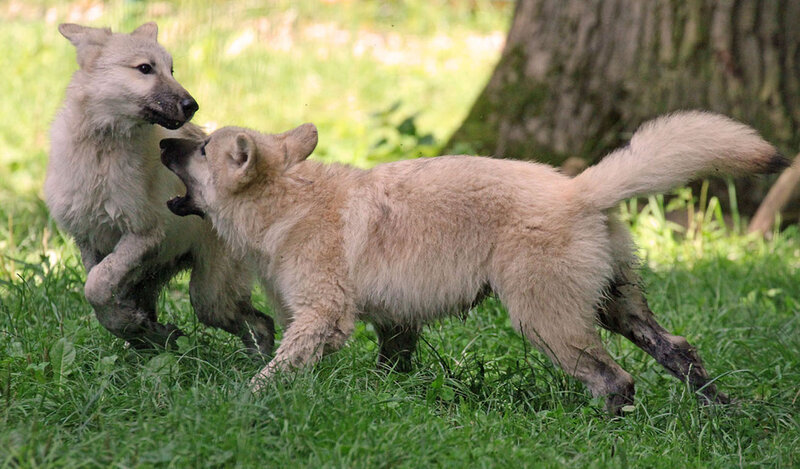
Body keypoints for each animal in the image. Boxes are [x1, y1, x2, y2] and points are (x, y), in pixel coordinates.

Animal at [44, 22, 274, 353]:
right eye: (145, 68)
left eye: (172, 70)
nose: (192, 106)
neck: (103, 151)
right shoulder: (88, 237)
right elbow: (101, 292)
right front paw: (135, 326)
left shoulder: (144, 233)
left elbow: (96, 287)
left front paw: (135, 325)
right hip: (164, 279)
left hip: (210, 295)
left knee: (262, 323)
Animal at [160, 112, 786, 413]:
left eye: (201, 148)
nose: (165, 140)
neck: (288, 201)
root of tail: (580, 191)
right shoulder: (396, 324)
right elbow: (389, 368)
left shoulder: (322, 320)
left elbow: (271, 373)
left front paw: (241, 401)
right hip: (620, 307)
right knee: (680, 352)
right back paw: (722, 413)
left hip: (546, 321)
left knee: (616, 379)